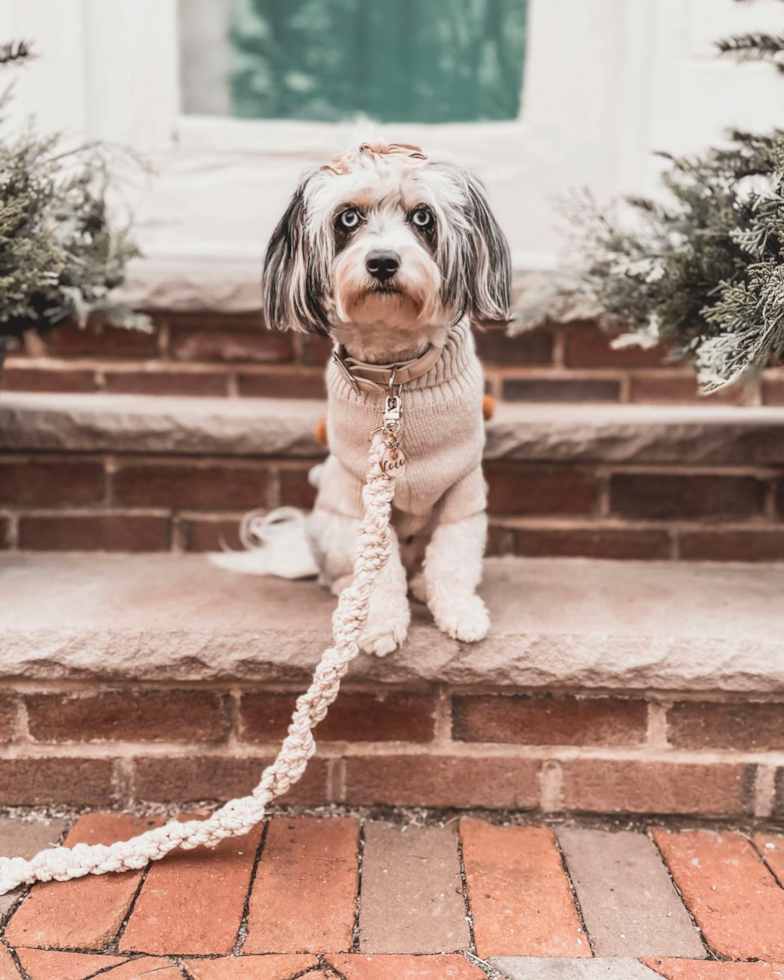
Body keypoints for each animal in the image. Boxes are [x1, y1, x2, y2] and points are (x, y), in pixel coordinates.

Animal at [260, 142, 512, 656]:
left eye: (423, 217)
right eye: (347, 218)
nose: (381, 262)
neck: (396, 374)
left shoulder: (463, 490)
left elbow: (453, 557)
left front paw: (460, 612)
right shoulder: (362, 496)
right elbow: (379, 569)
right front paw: (377, 625)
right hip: (329, 520)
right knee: (343, 571)